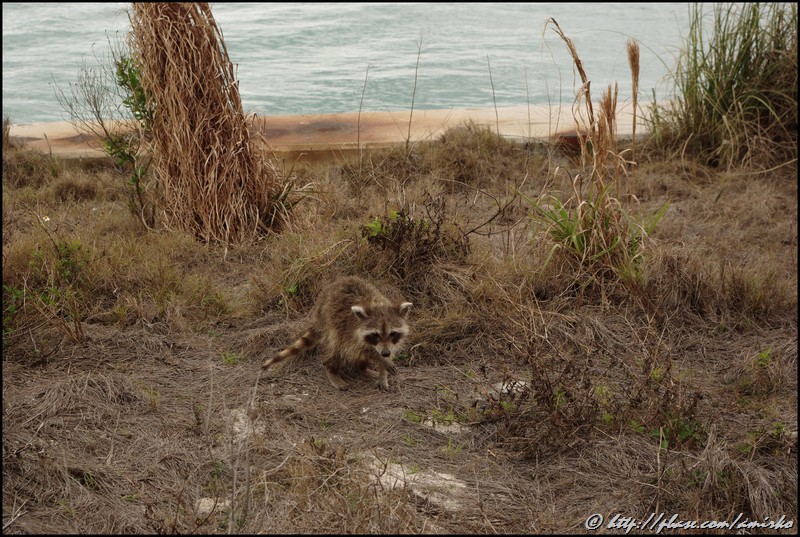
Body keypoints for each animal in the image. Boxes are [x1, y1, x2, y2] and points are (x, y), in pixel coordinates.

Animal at [262, 276, 412, 390]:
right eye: (375, 335)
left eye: (392, 333)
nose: (385, 353)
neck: (378, 306)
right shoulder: (351, 331)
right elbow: (361, 349)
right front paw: (380, 359)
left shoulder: (391, 342)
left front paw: (383, 372)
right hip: (330, 323)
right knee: (337, 348)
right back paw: (332, 369)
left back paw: (362, 368)